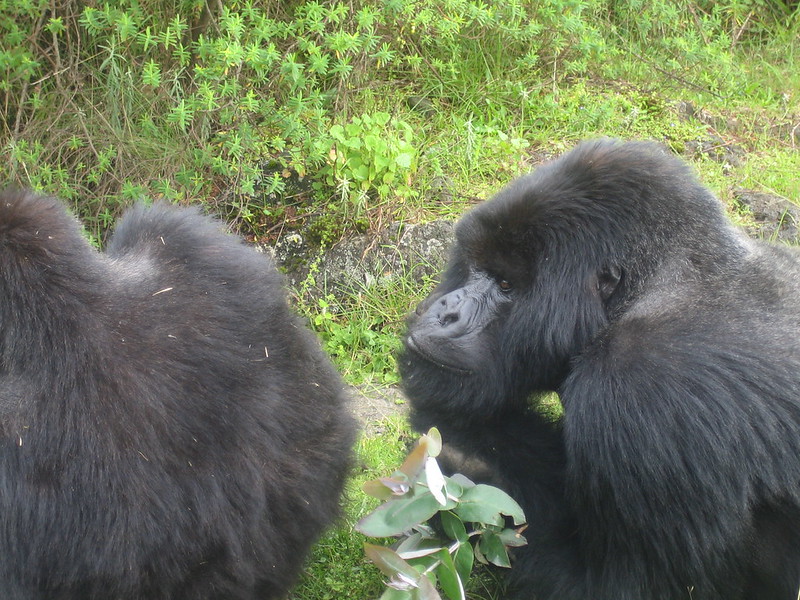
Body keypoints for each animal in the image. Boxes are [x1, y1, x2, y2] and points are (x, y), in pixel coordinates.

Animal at [404, 141, 800, 600]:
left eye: (504, 285)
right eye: (476, 267)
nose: (444, 312)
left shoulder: (640, 389)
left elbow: (620, 585)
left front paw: (462, 471)